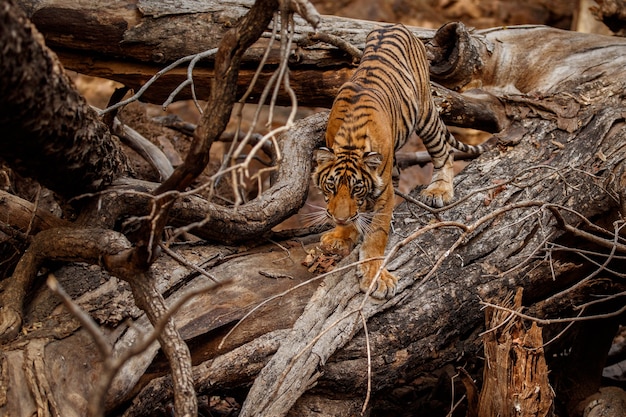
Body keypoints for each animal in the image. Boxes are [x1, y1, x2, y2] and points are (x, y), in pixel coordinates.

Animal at [312, 23, 488, 300]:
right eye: (331, 186)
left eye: (357, 189)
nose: (340, 220)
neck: (350, 142)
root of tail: (395, 25)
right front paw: (341, 234)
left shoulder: (382, 193)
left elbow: (376, 234)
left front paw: (376, 277)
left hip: (426, 113)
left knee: (444, 151)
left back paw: (439, 190)